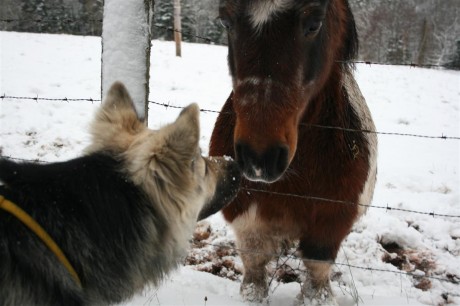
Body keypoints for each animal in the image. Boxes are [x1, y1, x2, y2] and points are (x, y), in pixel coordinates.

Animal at [210, 0, 376, 304]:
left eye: (314, 24)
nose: (260, 158)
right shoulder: (247, 219)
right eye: (226, 21)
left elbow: (317, 277)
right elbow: (254, 273)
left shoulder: (331, 223)